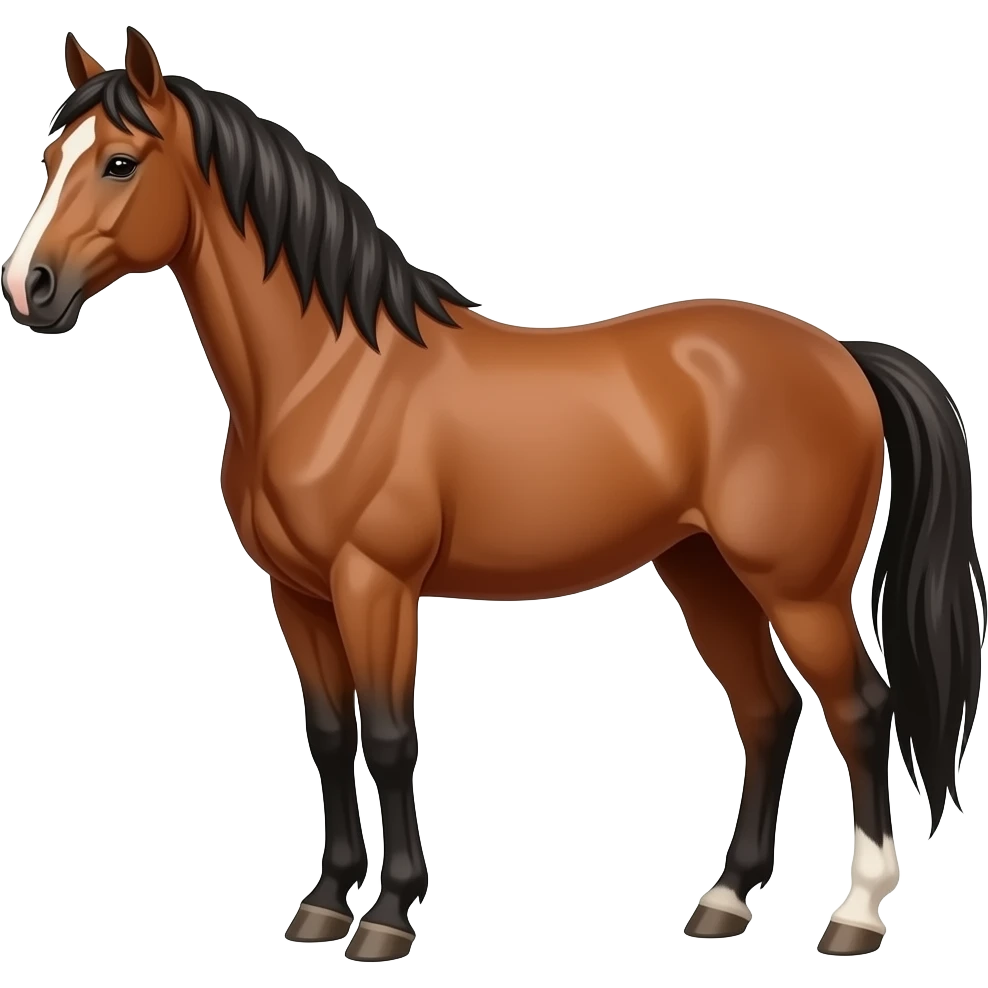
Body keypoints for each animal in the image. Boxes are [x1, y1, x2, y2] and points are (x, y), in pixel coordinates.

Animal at [3, 27, 983, 962]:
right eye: (50, 158)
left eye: (120, 162)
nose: (28, 287)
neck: (328, 373)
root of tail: (842, 356)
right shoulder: (298, 594)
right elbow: (329, 736)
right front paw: (322, 904)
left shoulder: (375, 585)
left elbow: (390, 738)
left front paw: (386, 918)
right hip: (703, 571)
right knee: (768, 711)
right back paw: (724, 901)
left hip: (799, 589)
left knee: (861, 711)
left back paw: (856, 915)